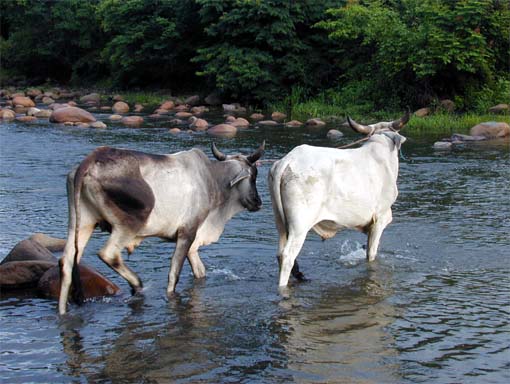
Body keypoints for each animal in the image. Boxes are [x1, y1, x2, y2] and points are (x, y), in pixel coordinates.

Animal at [59, 142, 264, 314]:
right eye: (253, 176)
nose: (258, 202)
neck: (212, 179)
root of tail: (90, 161)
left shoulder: (193, 241)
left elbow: (200, 272)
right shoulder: (187, 232)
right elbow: (174, 274)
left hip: (82, 222)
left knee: (67, 262)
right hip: (131, 222)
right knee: (108, 254)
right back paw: (137, 285)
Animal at [268, 112, 408, 286]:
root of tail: (288, 160)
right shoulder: (379, 220)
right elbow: (371, 255)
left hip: (280, 222)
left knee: (279, 253)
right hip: (299, 224)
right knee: (287, 256)